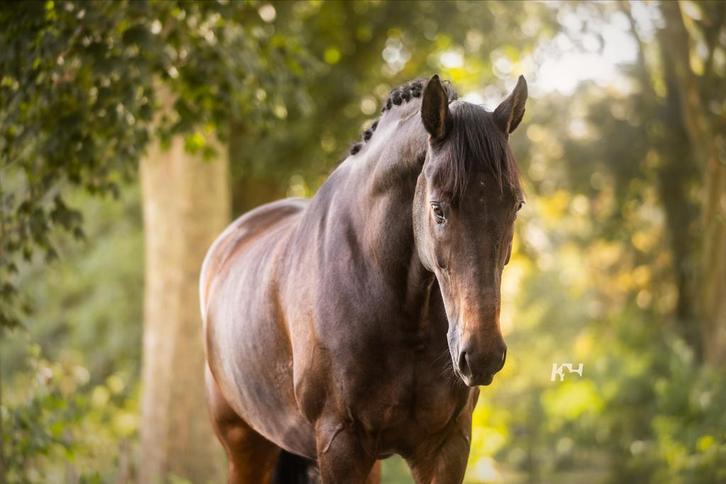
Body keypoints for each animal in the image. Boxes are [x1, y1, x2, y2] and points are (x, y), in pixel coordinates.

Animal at [200, 74, 527, 483]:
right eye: (437, 208)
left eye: (515, 205)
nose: (481, 354)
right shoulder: (340, 442)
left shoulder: (447, 445)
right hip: (246, 447)